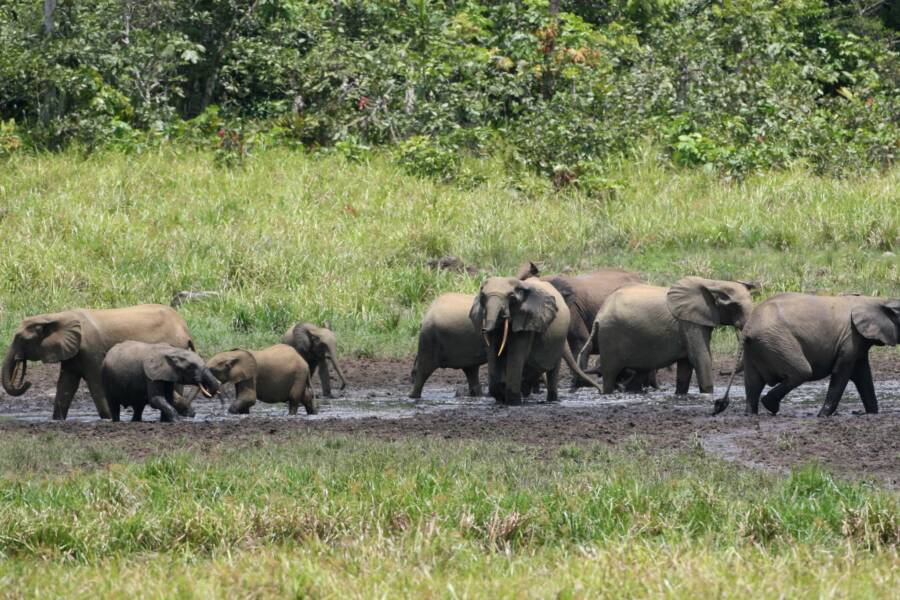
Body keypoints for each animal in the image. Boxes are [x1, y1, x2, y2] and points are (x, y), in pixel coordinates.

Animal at [2, 304, 195, 420]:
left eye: (21, 339)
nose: (27, 381)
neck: (55, 316)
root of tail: (185, 329)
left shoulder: (91, 350)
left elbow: (96, 383)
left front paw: (108, 418)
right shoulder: (73, 351)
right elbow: (66, 385)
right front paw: (57, 420)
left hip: (175, 347)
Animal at [469, 276, 603, 405]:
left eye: (511, 297)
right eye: (483, 297)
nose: (600, 391)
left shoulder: (527, 322)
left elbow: (516, 357)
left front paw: (513, 403)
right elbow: (493, 355)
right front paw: (501, 399)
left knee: (552, 368)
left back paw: (552, 400)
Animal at [579, 277, 754, 401]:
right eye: (735, 307)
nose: (723, 372)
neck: (713, 283)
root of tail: (599, 315)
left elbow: (686, 365)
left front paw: (681, 396)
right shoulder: (689, 323)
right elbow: (700, 358)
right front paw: (708, 395)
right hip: (609, 337)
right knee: (610, 375)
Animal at [738, 293, 900, 417]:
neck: (878, 301)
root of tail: (748, 328)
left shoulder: (859, 341)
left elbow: (863, 376)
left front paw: (873, 414)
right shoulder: (850, 338)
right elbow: (841, 373)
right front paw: (823, 416)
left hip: (757, 347)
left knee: (753, 383)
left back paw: (751, 414)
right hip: (777, 341)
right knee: (802, 372)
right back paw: (770, 406)